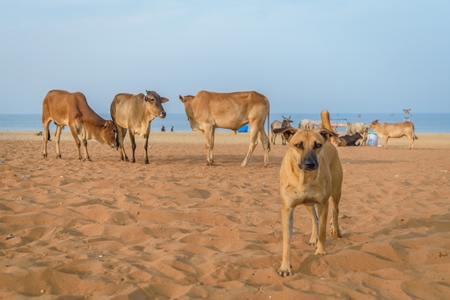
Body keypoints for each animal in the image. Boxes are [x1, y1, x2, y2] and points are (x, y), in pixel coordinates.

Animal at [272, 110, 342, 276]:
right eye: (298, 145)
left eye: (318, 145)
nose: (310, 164)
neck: (304, 178)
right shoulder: (287, 209)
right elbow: (287, 242)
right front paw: (285, 266)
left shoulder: (323, 203)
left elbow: (323, 230)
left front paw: (320, 251)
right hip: (308, 204)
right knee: (314, 220)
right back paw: (312, 239)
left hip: (336, 192)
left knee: (335, 210)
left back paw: (335, 230)